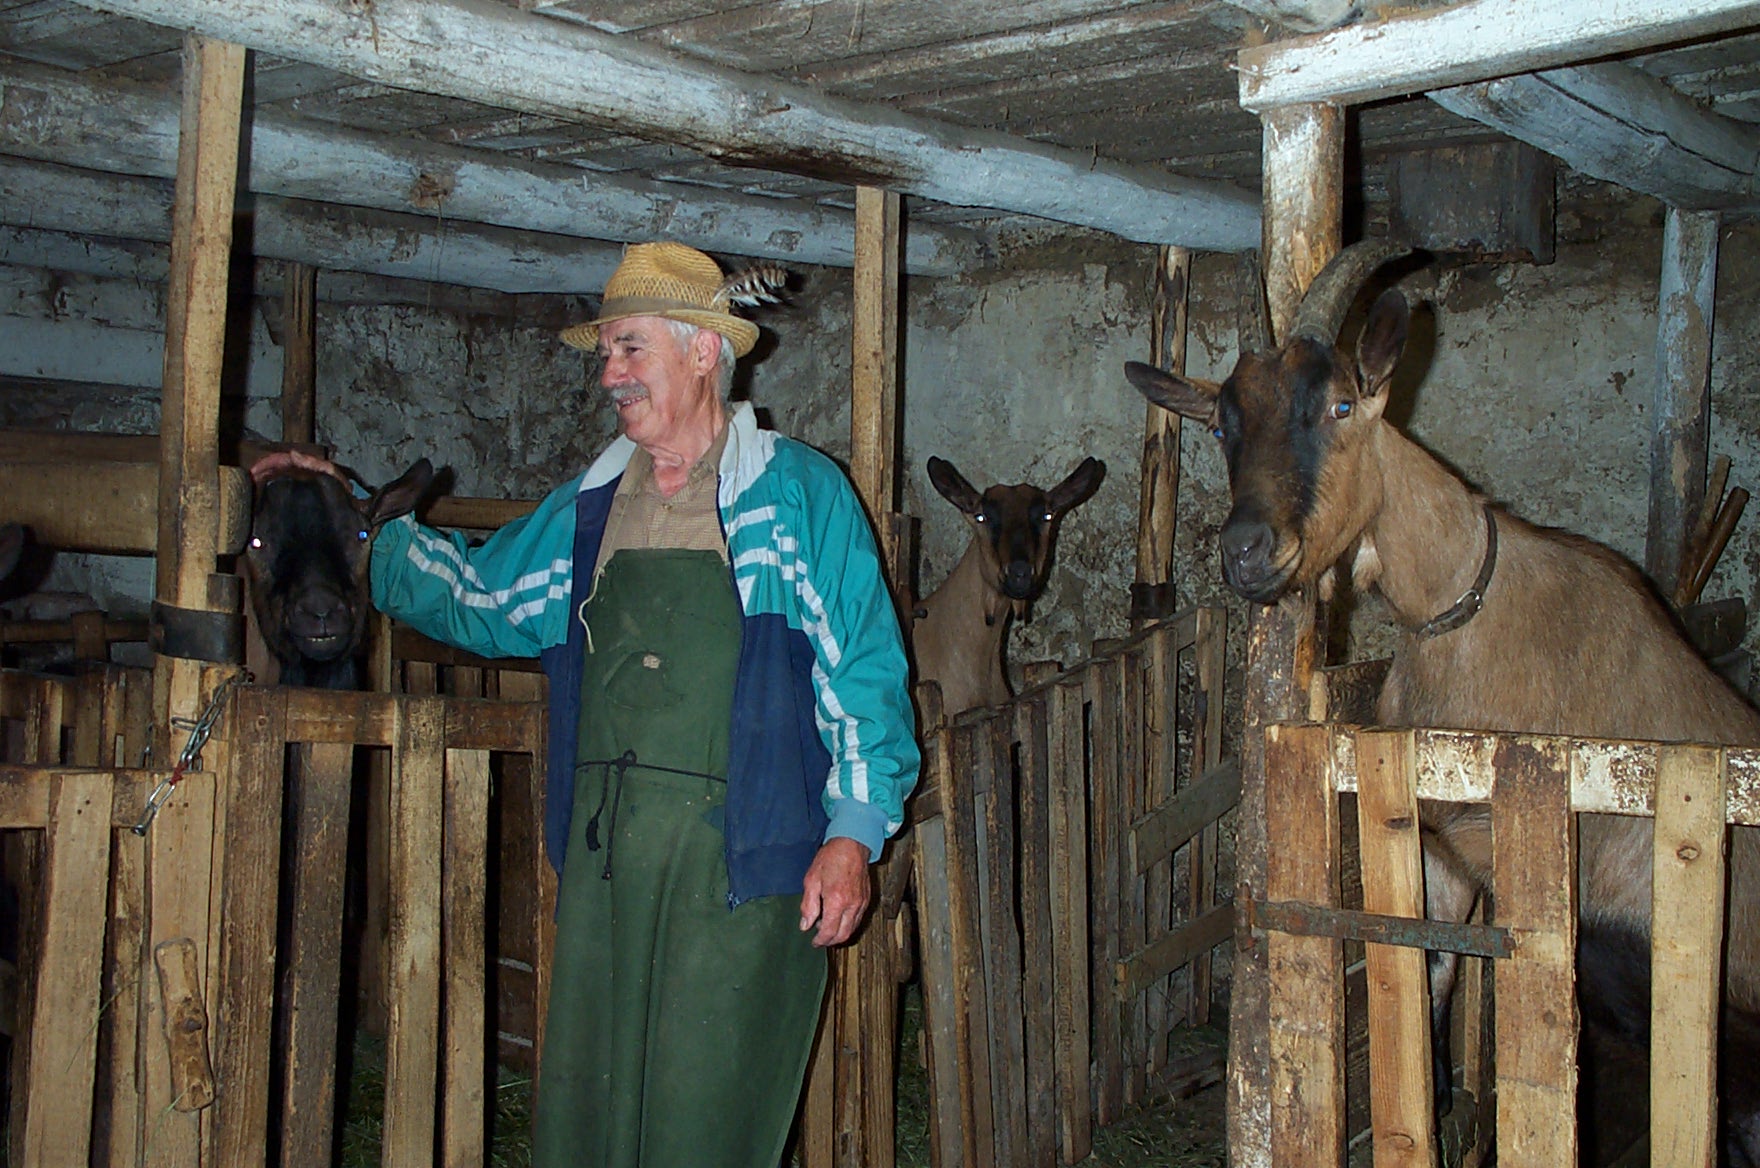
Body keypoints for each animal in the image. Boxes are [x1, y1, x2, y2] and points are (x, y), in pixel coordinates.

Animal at [1125, 240, 1760, 1164]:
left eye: (1342, 403)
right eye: (1219, 424)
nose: (1246, 552)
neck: (1469, 612)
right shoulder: (1443, 853)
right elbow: (1428, 974)